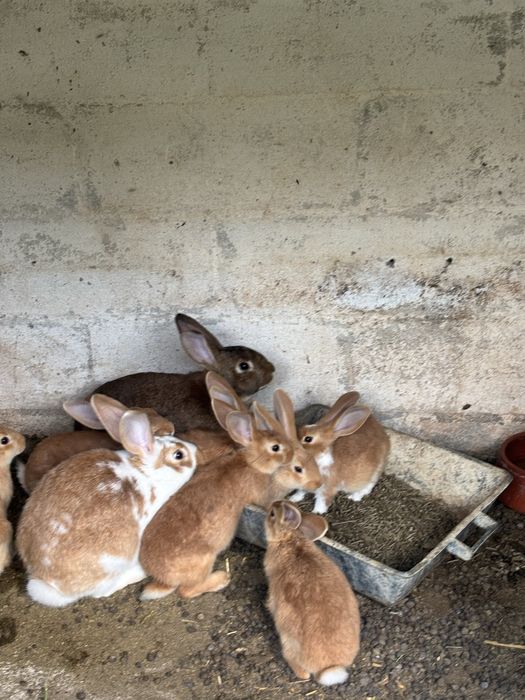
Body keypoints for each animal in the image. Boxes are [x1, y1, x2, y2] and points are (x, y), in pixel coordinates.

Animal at [139, 382, 322, 601]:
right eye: (276, 447)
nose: (318, 483)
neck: (251, 463)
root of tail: (162, 579)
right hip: (204, 562)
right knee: (186, 591)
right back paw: (221, 579)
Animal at [264, 500, 360, 685]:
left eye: (272, 514)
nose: (272, 504)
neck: (291, 540)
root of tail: (330, 667)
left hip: (288, 641)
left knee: (300, 669)